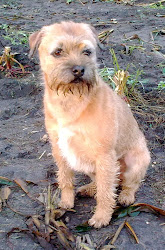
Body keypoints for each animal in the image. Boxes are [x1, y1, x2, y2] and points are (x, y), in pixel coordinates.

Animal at [29, 21, 150, 229]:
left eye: (87, 52)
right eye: (58, 52)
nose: (79, 70)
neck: (71, 100)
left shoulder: (104, 154)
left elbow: (105, 192)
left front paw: (101, 217)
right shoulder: (59, 149)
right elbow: (65, 178)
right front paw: (66, 202)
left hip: (135, 160)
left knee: (127, 184)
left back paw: (125, 196)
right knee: (105, 182)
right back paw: (88, 188)